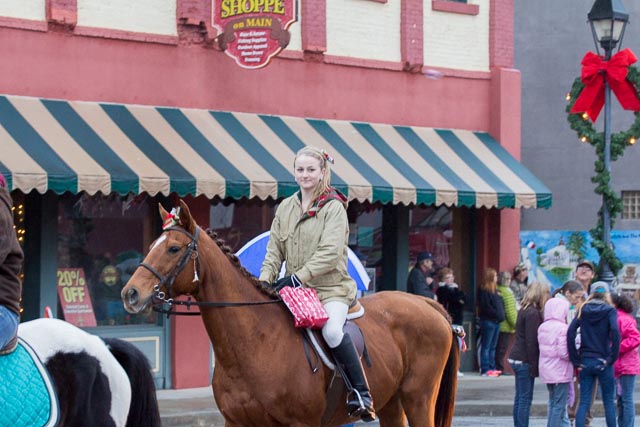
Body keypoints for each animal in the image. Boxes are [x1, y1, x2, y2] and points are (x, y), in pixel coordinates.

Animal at [121, 201, 460, 427]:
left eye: (174, 249)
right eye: (152, 244)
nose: (130, 294)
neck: (254, 341)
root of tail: (427, 304)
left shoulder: (299, 423)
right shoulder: (237, 422)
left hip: (418, 398)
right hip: (391, 401)